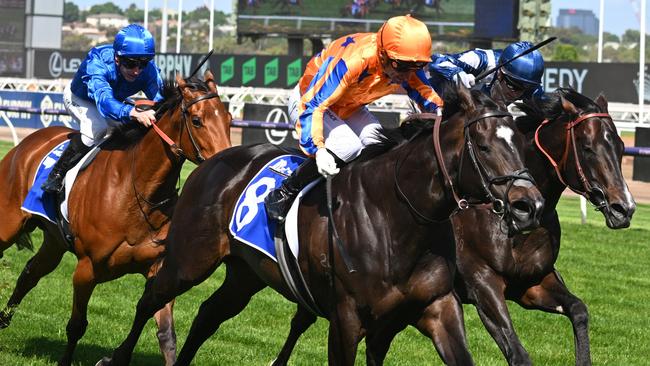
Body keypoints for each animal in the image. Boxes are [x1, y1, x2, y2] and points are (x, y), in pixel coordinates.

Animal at [0, 70, 232, 364]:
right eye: (197, 120)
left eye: (229, 120)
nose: (226, 162)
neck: (136, 191)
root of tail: (30, 141)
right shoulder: (87, 269)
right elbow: (77, 326)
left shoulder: (159, 268)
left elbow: (166, 334)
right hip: (8, 224)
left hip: (54, 241)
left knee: (30, 272)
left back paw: (4, 319)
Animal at [97, 86, 540, 366]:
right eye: (484, 145)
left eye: (520, 141)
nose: (529, 206)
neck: (396, 220)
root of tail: (212, 159)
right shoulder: (346, 319)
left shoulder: (434, 308)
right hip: (189, 259)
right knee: (150, 299)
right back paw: (113, 357)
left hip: (245, 274)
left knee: (208, 313)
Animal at [268, 88, 632, 366]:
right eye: (588, 148)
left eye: (621, 147)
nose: (624, 208)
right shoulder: (482, 283)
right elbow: (516, 351)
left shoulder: (531, 283)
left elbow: (579, 310)